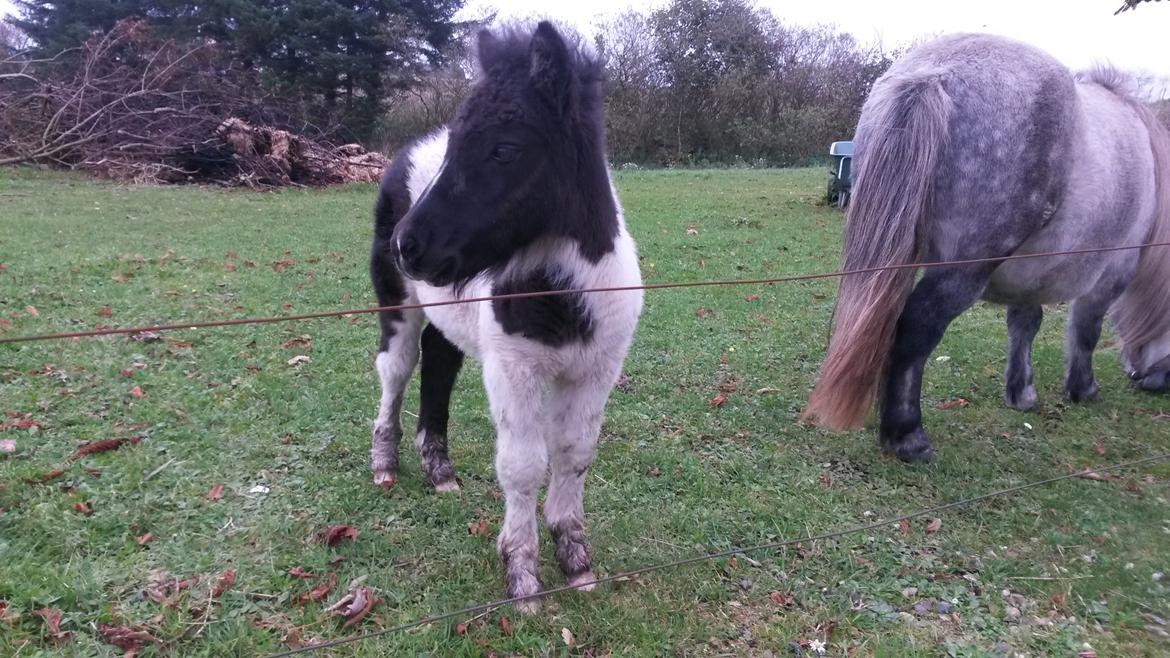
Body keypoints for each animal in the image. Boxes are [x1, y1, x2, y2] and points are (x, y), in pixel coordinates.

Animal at [367, 21, 641, 604]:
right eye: (457, 147)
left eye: (505, 149)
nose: (407, 245)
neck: (562, 295)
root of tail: (410, 148)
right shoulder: (512, 370)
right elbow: (521, 466)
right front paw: (522, 575)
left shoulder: (597, 370)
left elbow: (574, 454)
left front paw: (576, 560)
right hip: (397, 302)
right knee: (396, 368)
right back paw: (385, 462)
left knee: (439, 362)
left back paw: (439, 470)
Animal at [804, 33, 1170, 458]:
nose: (1157, 384)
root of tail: (934, 71)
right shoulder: (1112, 272)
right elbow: (1086, 330)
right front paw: (1084, 389)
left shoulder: (1032, 276)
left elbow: (1025, 324)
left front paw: (1021, 393)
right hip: (964, 269)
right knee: (917, 325)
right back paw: (908, 436)